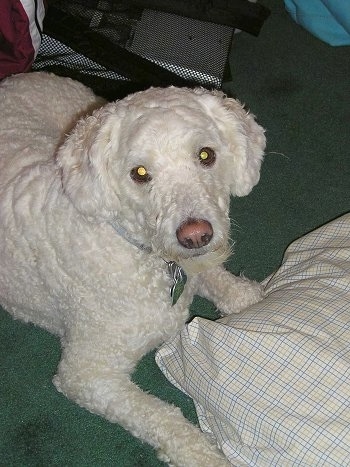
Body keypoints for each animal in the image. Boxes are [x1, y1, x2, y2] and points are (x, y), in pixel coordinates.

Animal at [0, 73, 266, 467]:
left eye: (206, 155)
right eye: (139, 173)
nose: (195, 235)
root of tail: (19, 76)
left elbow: (217, 279)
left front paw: (249, 296)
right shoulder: (88, 375)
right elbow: (161, 416)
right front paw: (203, 455)